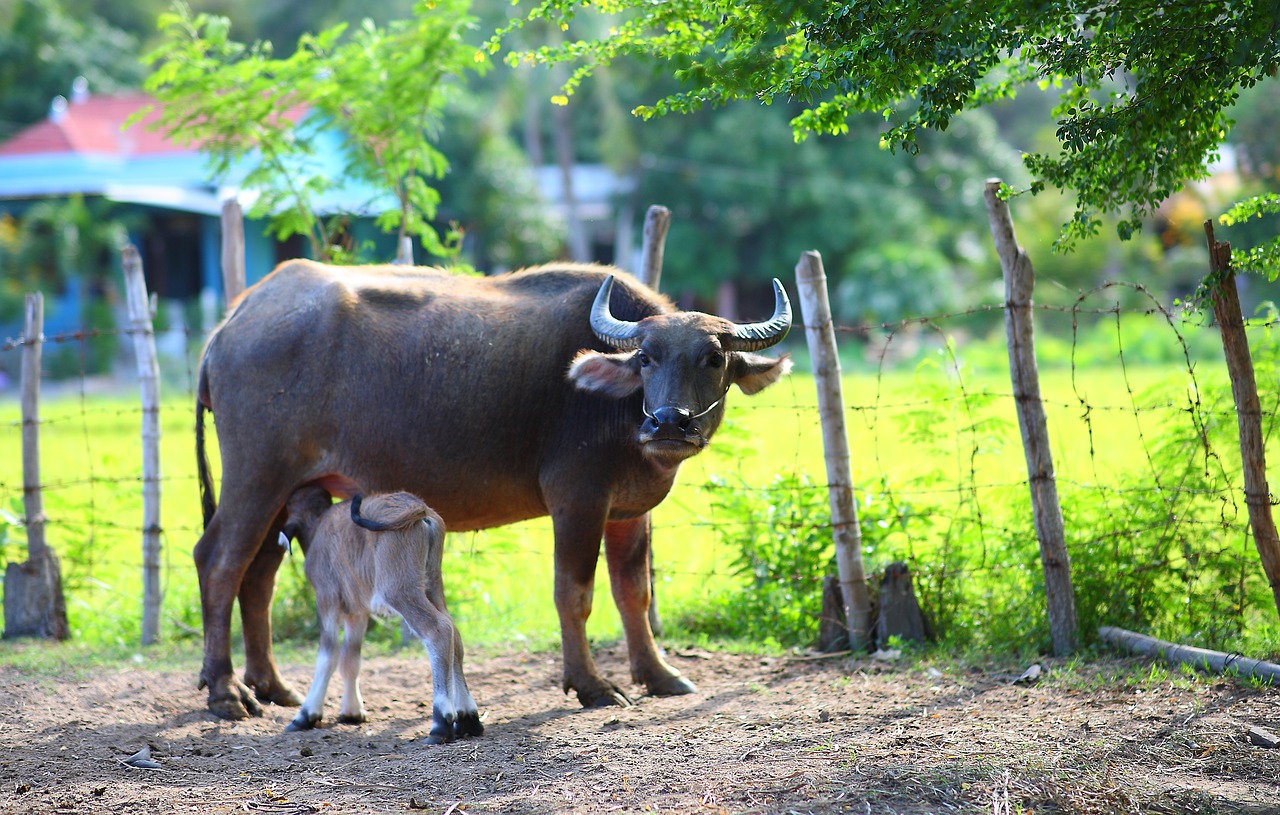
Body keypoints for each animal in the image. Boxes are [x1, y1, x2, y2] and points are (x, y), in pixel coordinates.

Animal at [194, 261, 788, 716]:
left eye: (713, 357)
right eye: (646, 357)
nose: (668, 423)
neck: (613, 407)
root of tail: (231, 323)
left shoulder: (628, 509)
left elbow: (633, 592)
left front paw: (659, 675)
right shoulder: (577, 500)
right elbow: (574, 594)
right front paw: (591, 685)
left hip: (288, 490)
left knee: (259, 576)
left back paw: (272, 685)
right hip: (255, 477)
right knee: (220, 561)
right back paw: (226, 691)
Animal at [280, 486, 481, 742]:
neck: (319, 524)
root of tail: (420, 508)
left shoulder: (327, 600)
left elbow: (328, 656)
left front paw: (306, 714)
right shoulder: (357, 612)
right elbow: (350, 657)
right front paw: (352, 711)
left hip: (400, 590)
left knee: (439, 631)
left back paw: (440, 723)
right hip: (433, 584)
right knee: (454, 633)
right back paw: (469, 718)